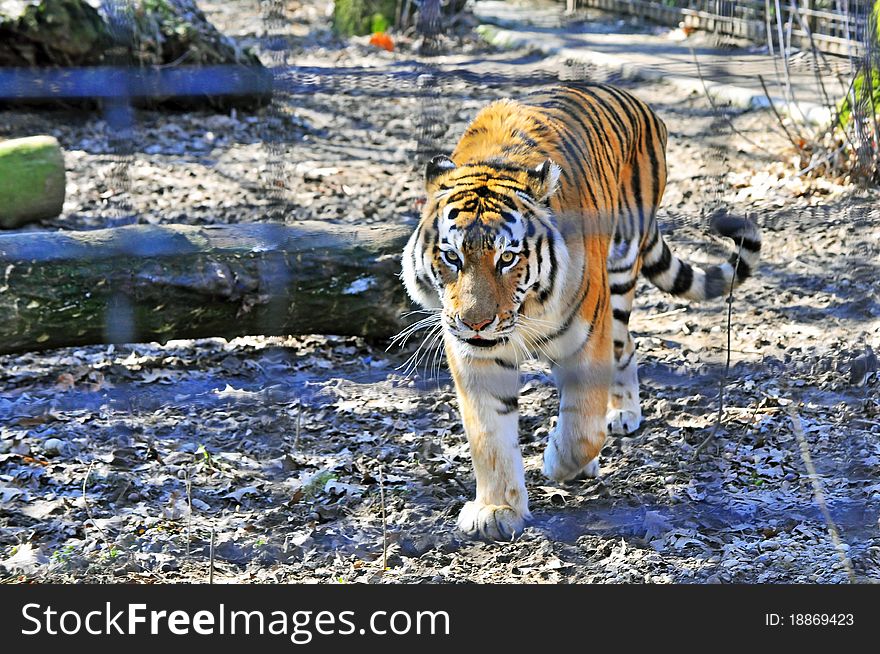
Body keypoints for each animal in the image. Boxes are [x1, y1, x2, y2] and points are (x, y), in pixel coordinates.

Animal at [402, 83, 760, 544]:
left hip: (621, 273)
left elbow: (583, 428)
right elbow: (489, 436)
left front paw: (558, 461)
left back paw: (622, 416)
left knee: (625, 348)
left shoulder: (588, 337)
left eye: (506, 258)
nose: (475, 322)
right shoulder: (476, 356)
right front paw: (496, 509)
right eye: (452, 257)